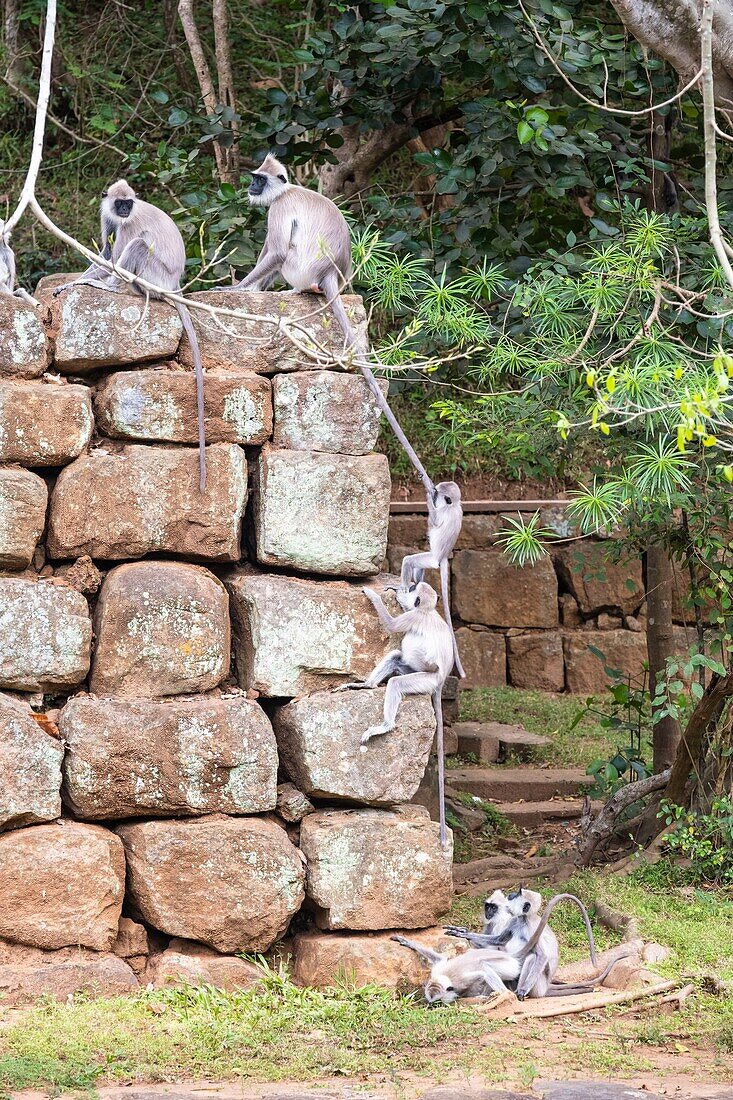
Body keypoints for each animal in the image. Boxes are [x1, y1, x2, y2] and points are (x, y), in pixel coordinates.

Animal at [54, 180, 205, 490]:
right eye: (119, 203)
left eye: (128, 204)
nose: (124, 210)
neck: (122, 215)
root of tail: (174, 283)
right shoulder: (109, 217)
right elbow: (105, 253)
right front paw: (72, 282)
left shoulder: (128, 225)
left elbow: (115, 255)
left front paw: (88, 282)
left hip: (154, 275)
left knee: (137, 245)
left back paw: (112, 287)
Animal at [334, 580, 451, 844]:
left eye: (413, 590)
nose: (407, 588)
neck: (428, 612)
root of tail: (440, 682)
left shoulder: (413, 616)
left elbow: (391, 625)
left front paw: (373, 594)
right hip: (413, 671)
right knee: (397, 657)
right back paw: (366, 686)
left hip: (423, 679)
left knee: (397, 683)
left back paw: (385, 725)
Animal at [387, 932, 519, 1003]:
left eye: (438, 1001)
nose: (430, 1006)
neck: (446, 977)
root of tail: (512, 957)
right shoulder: (437, 970)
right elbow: (439, 959)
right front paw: (406, 941)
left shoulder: (460, 981)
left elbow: (482, 974)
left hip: (508, 967)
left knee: (484, 965)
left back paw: (504, 993)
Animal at [400, 481, 462, 677]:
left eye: (437, 493)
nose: (433, 492)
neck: (453, 506)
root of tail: (443, 557)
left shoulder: (443, 513)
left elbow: (434, 521)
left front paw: (428, 497)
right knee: (418, 567)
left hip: (431, 559)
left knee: (409, 561)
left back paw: (404, 588)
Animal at [440, 888, 620, 1003]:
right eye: (487, 906)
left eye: (493, 907)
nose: (488, 912)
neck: (523, 920)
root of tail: (545, 987)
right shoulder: (512, 922)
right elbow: (498, 940)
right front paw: (462, 932)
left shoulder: (514, 924)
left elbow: (538, 954)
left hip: (537, 984)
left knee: (532, 958)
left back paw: (518, 992)